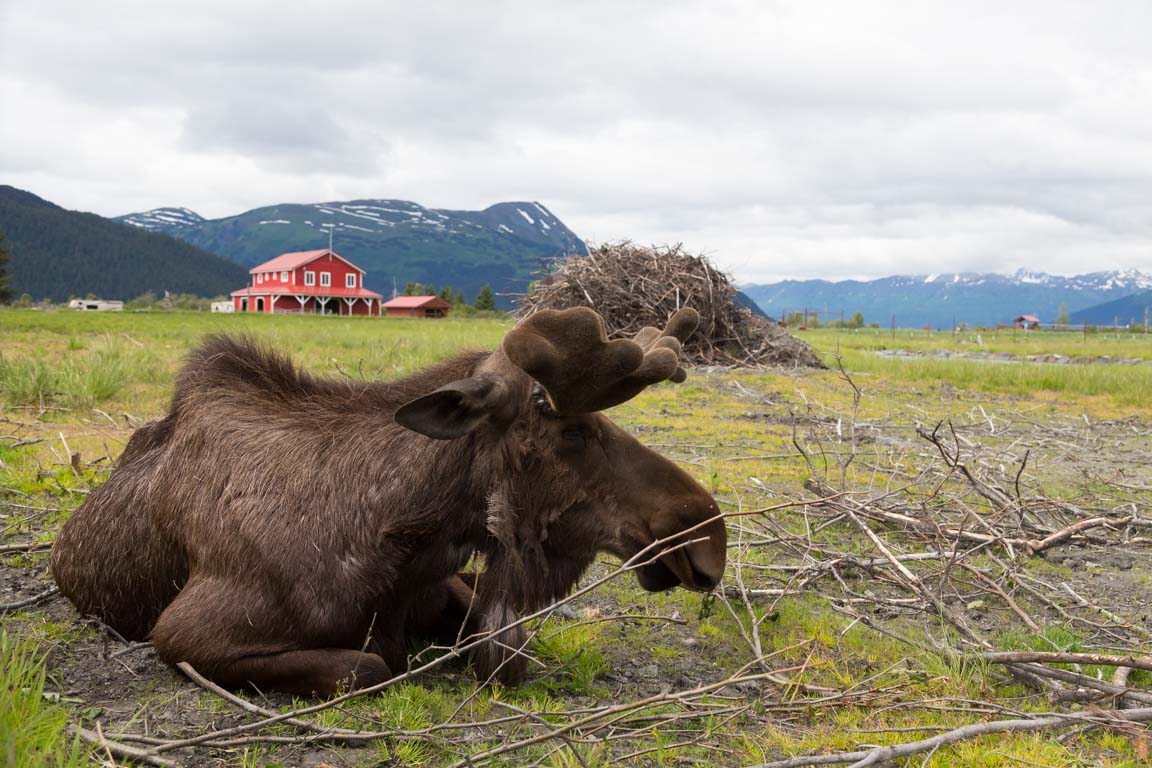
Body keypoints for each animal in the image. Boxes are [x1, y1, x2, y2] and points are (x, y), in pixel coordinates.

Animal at [51, 308, 728, 695]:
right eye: (573, 430)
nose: (707, 537)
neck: (397, 538)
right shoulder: (183, 635)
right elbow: (370, 666)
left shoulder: (445, 585)